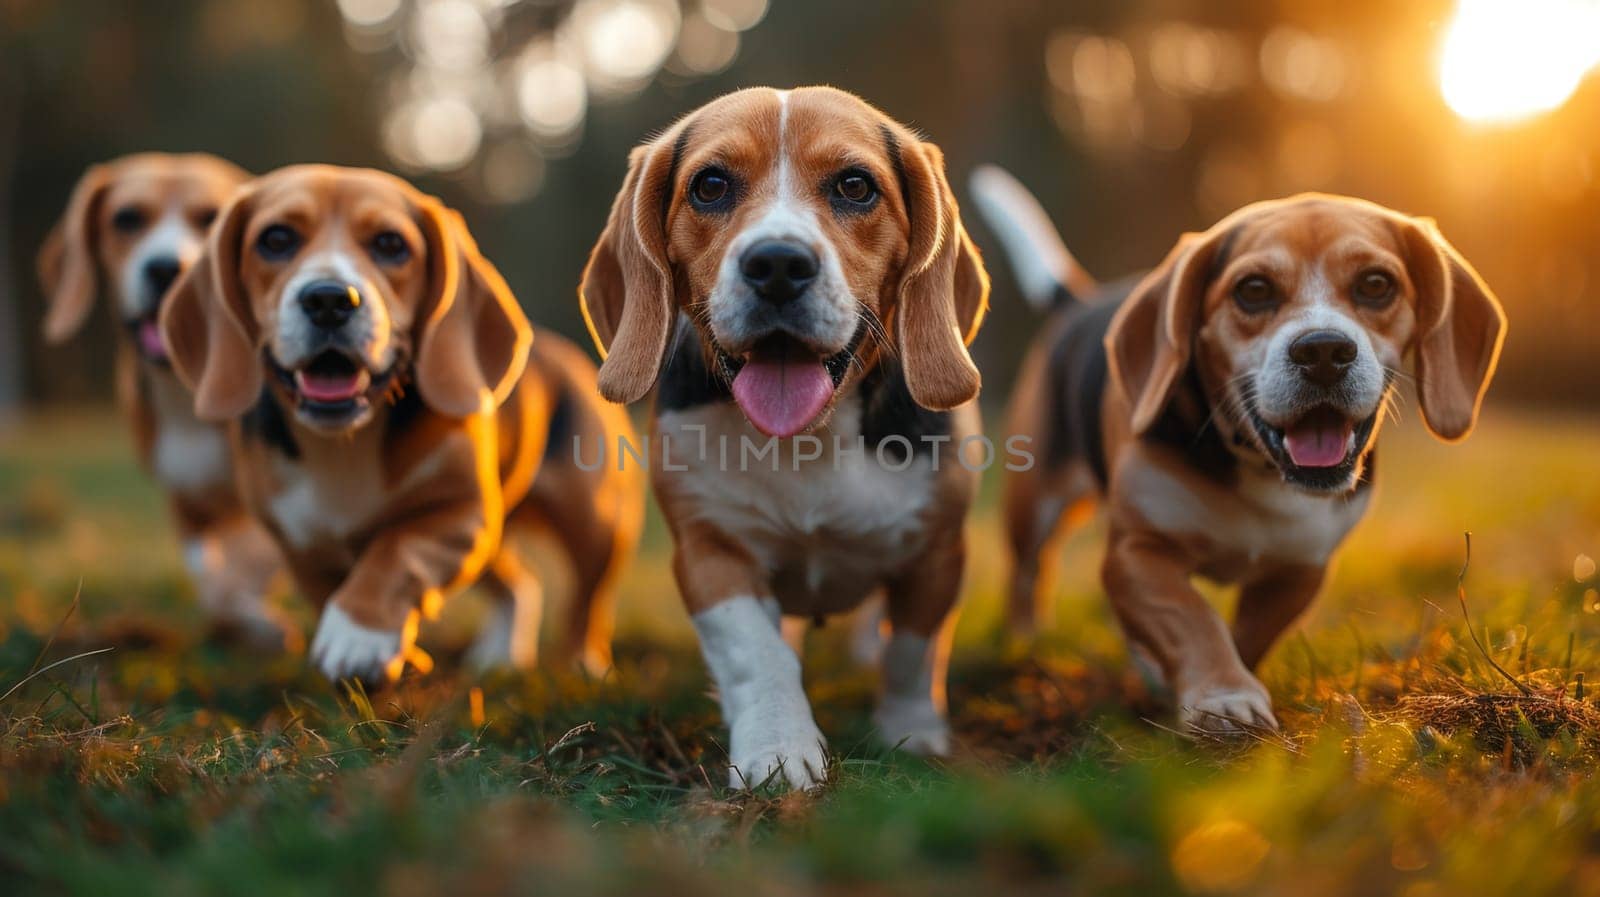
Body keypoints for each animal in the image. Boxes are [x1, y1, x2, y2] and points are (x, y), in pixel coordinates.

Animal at [38, 151, 291, 642]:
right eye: (127, 218)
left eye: (211, 217)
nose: (165, 269)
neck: (184, 394)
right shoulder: (185, 506)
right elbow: (209, 577)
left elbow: (241, 571)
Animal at [157, 162, 643, 677]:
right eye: (276, 239)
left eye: (391, 244)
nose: (329, 300)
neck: (344, 443)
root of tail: (570, 356)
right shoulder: (300, 543)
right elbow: (332, 588)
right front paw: (394, 652)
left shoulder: (459, 513)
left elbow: (396, 551)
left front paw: (358, 635)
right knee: (521, 583)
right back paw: (498, 656)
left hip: (596, 523)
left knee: (587, 601)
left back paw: (582, 662)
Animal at [582, 83, 985, 783]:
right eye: (711, 185)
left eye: (855, 185)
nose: (776, 264)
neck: (808, 440)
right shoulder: (712, 552)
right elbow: (759, 654)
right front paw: (778, 748)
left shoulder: (937, 554)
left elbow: (912, 653)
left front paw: (911, 733)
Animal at [966, 167, 1504, 735]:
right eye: (1254, 290)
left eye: (1376, 285)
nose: (1323, 351)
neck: (1261, 471)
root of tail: (1079, 301)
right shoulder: (1136, 554)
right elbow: (1192, 616)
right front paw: (1223, 697)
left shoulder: (1301, 569)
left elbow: (1246, 635)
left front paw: (1209, 682)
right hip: (1032, 511)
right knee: (1028, 575)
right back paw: (1026, 643)